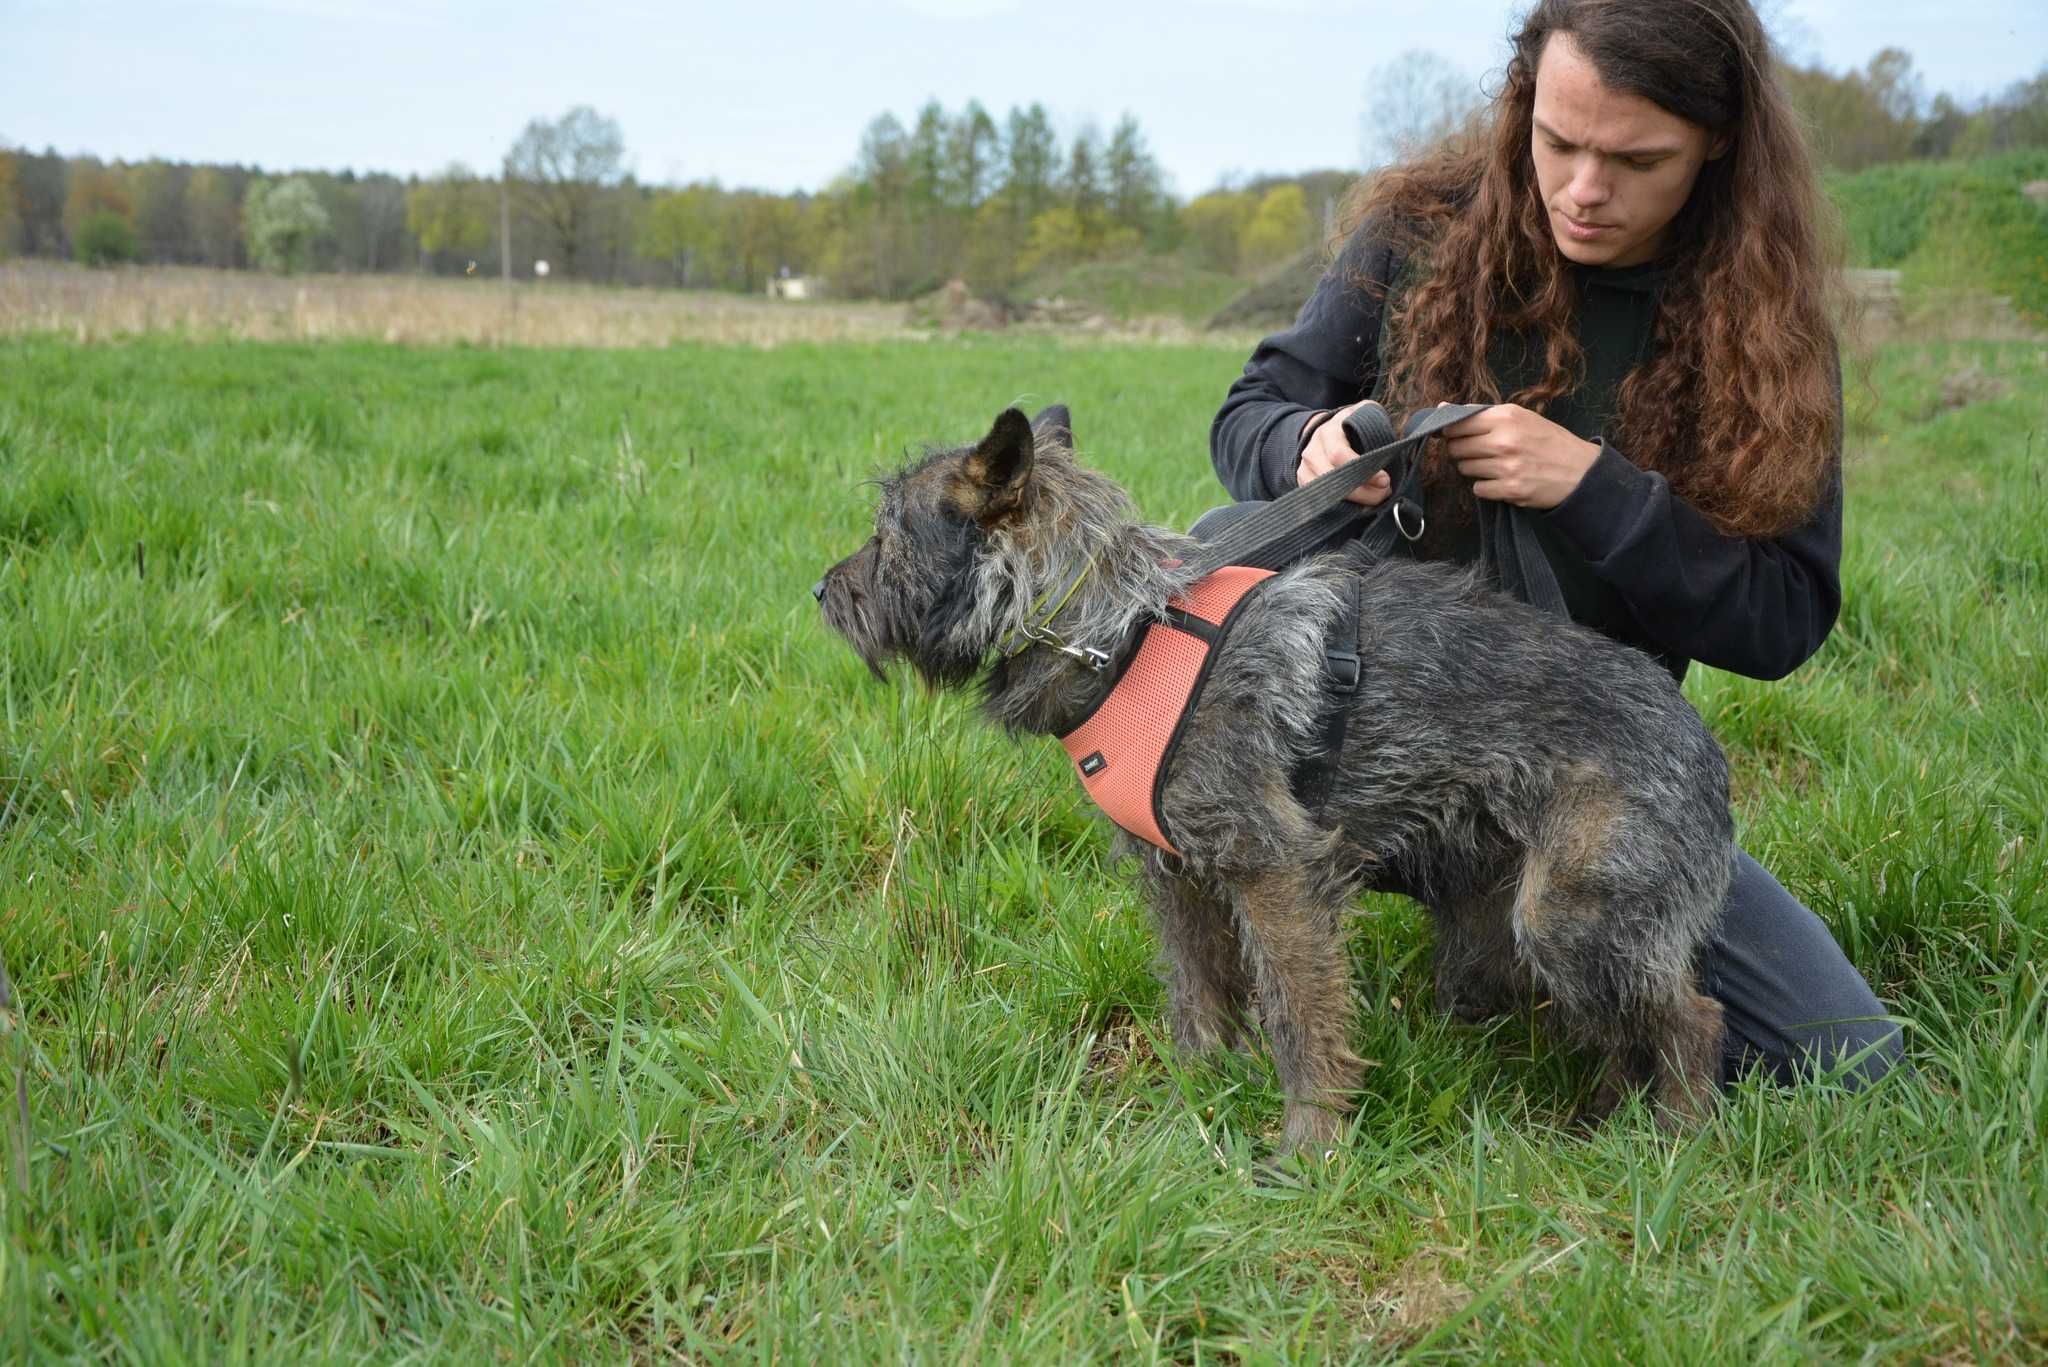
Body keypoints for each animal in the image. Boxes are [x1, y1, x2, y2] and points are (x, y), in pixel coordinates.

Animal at [815, 403, 1728, 1155]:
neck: (1125, 631)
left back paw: (1675, 1139)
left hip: (1568, 917)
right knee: (1622, 1033)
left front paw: (1310, 1143)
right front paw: (1192, 1095)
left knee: (1691, 1020)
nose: (822, 588)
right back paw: (1607, 1122)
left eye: (888, 536)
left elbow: (1297, 1014)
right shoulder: (1176, 877)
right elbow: (1196, 993)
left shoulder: (1275, 873)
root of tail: (1702, 741)